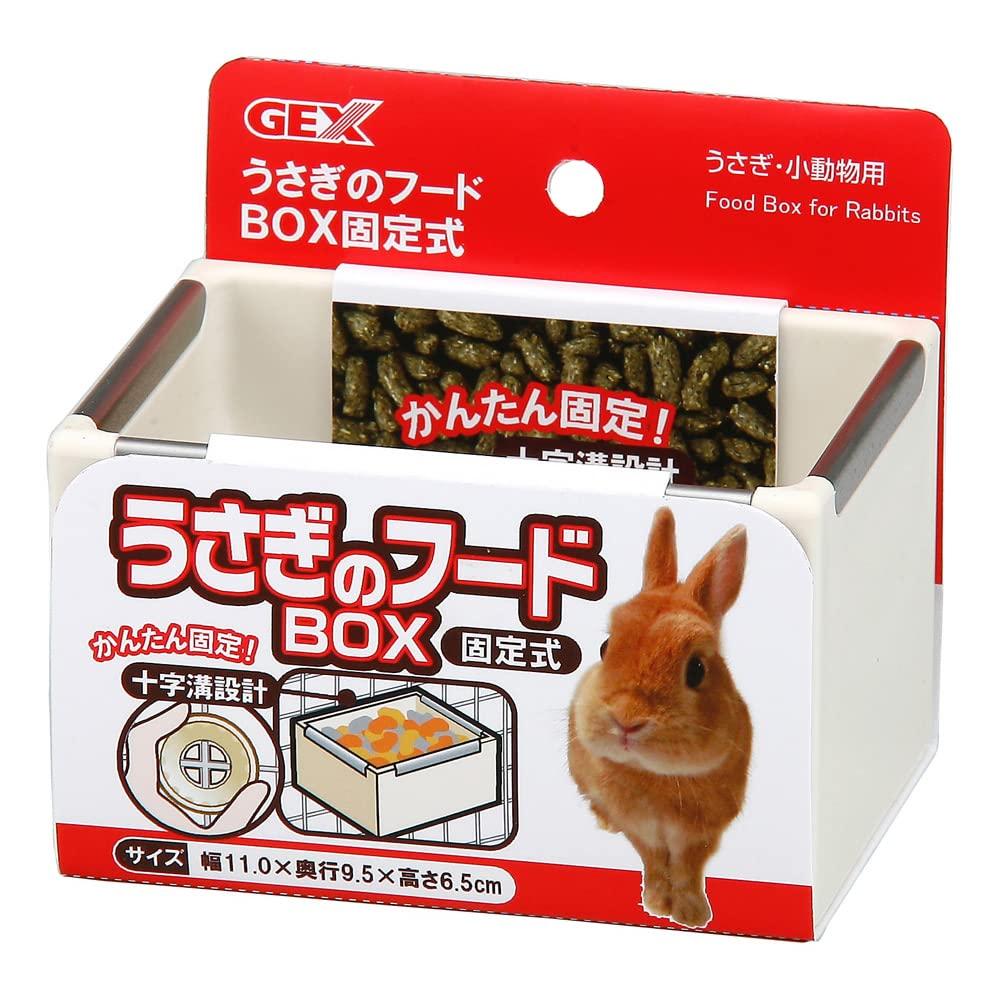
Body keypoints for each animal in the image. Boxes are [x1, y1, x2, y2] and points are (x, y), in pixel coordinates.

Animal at [568, 507, 751, 929]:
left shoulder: (701, 834)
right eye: (605, 647)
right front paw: (656, 903)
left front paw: (692, 913)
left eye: (696, 669)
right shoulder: (642, 829)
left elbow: (687, 869)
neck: (659, 778)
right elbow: (653, 863)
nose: (627, 720)